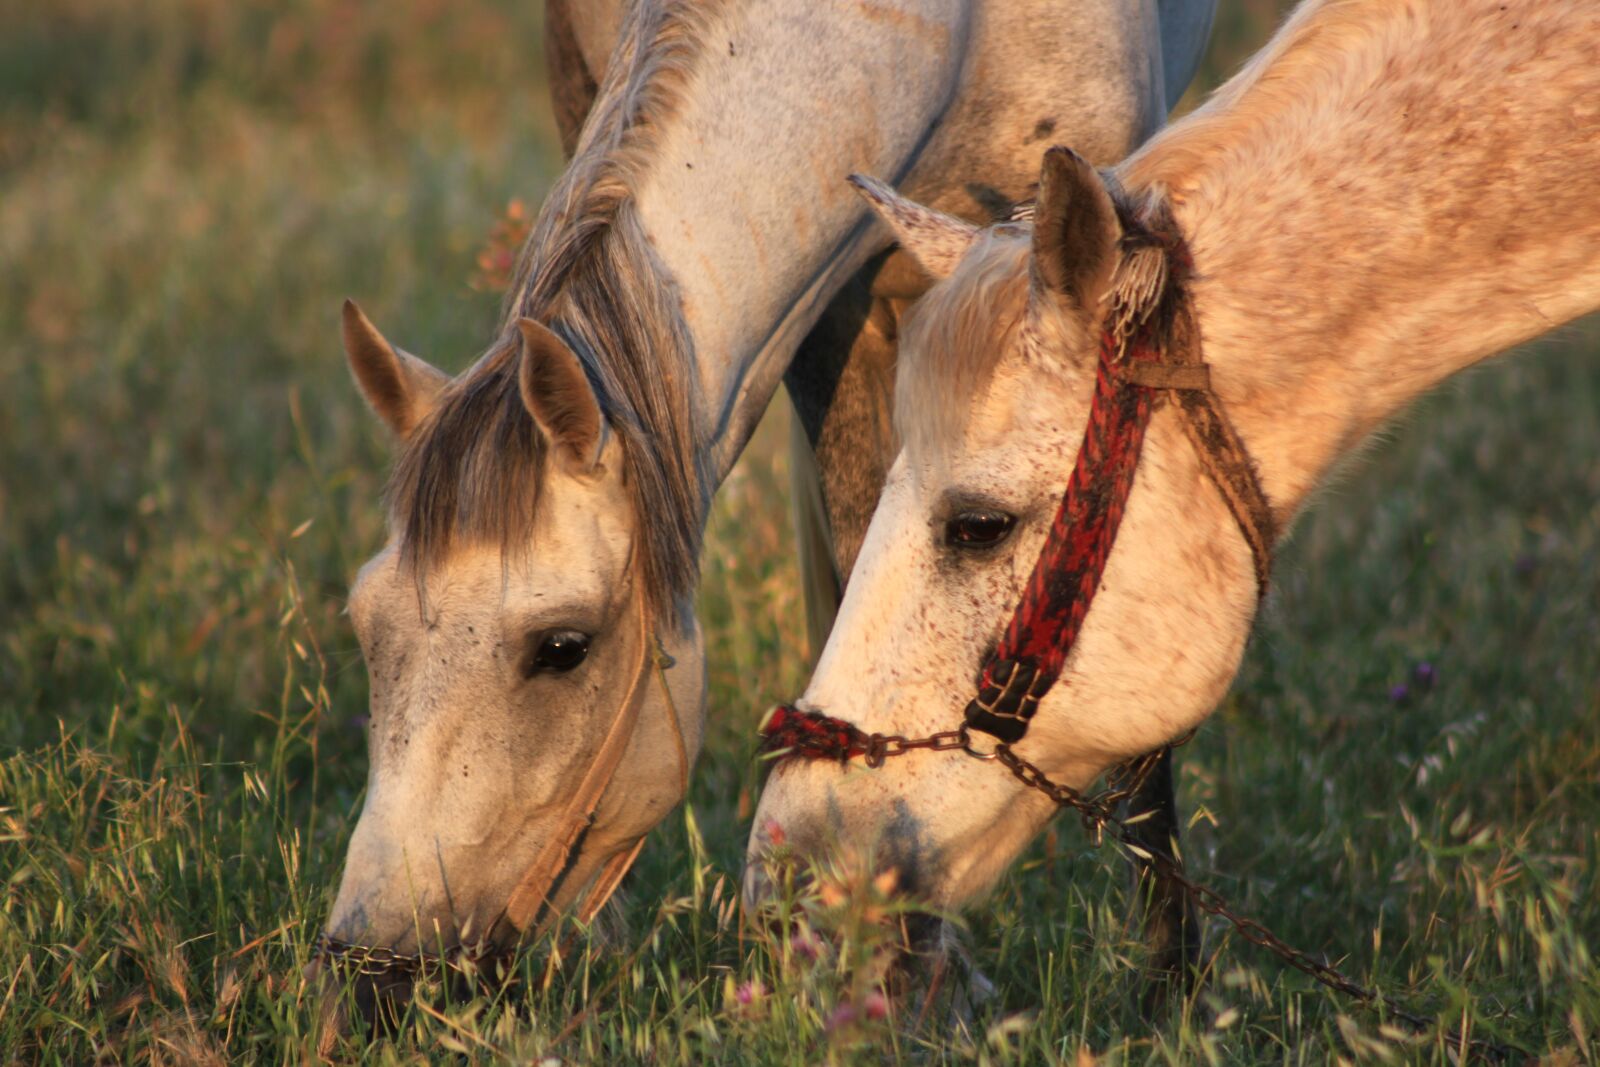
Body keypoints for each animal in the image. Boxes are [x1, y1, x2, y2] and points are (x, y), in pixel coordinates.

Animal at [318, 0, 1217, 1009]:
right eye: (366, 626)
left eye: (562, 647)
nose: (373, 974)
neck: (950, 36)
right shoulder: (832, 317)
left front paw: (1168, 985)